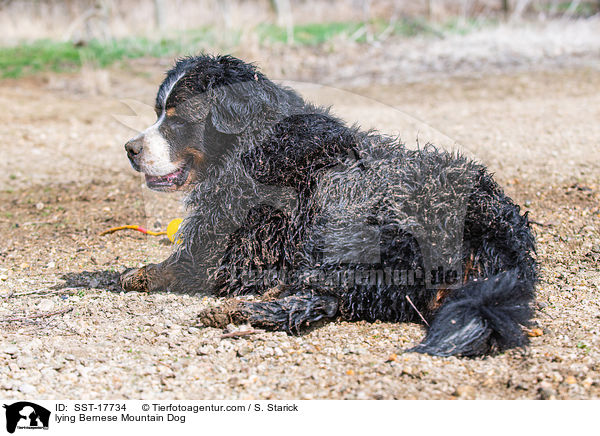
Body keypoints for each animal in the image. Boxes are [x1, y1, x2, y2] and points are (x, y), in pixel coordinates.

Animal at [119, 52, 536, 356]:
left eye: (177, 118)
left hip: (359, 229)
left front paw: (139, 273)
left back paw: (243, 309)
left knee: (325, 297)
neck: (253, 142)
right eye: (158, 113)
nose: (130, 149)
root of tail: (504, 242)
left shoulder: (240, 244)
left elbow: (181, 264)